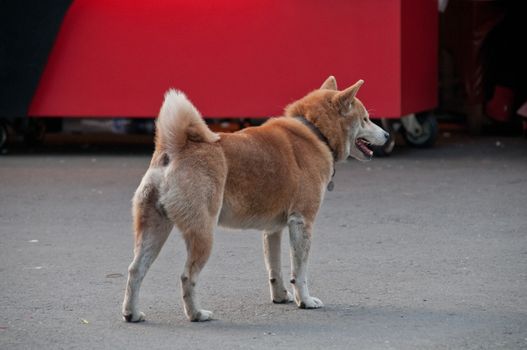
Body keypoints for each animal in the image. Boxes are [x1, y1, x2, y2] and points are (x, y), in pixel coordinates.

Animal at [122, 76, 388, 322]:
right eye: (365, 119)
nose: (386, 134)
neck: (315, 131)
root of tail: (175, 148)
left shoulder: (273, 230)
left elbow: (275, 268)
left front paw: (280, 296)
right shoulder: (302, 222)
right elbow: (300, 271)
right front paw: (305, 301)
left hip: (154, 229)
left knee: (135, 270)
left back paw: (131, 313)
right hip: (202, 233)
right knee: (187, 276)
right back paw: (196, 314)